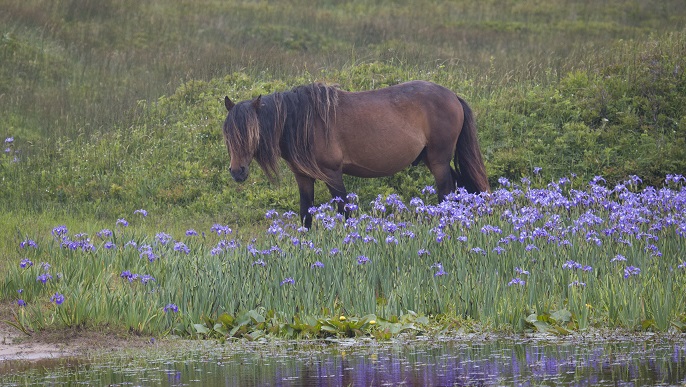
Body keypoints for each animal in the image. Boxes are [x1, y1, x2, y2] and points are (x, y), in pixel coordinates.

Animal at [223, 80, 492, 229]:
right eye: (228, 134)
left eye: (251, 133)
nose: (237, 172)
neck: (304, 123)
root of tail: (453, 96)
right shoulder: (303, 177)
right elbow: (305, 214)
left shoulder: (333, 174)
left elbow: (345, 211)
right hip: (432, 159)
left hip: (438, 161)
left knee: (446, 193)